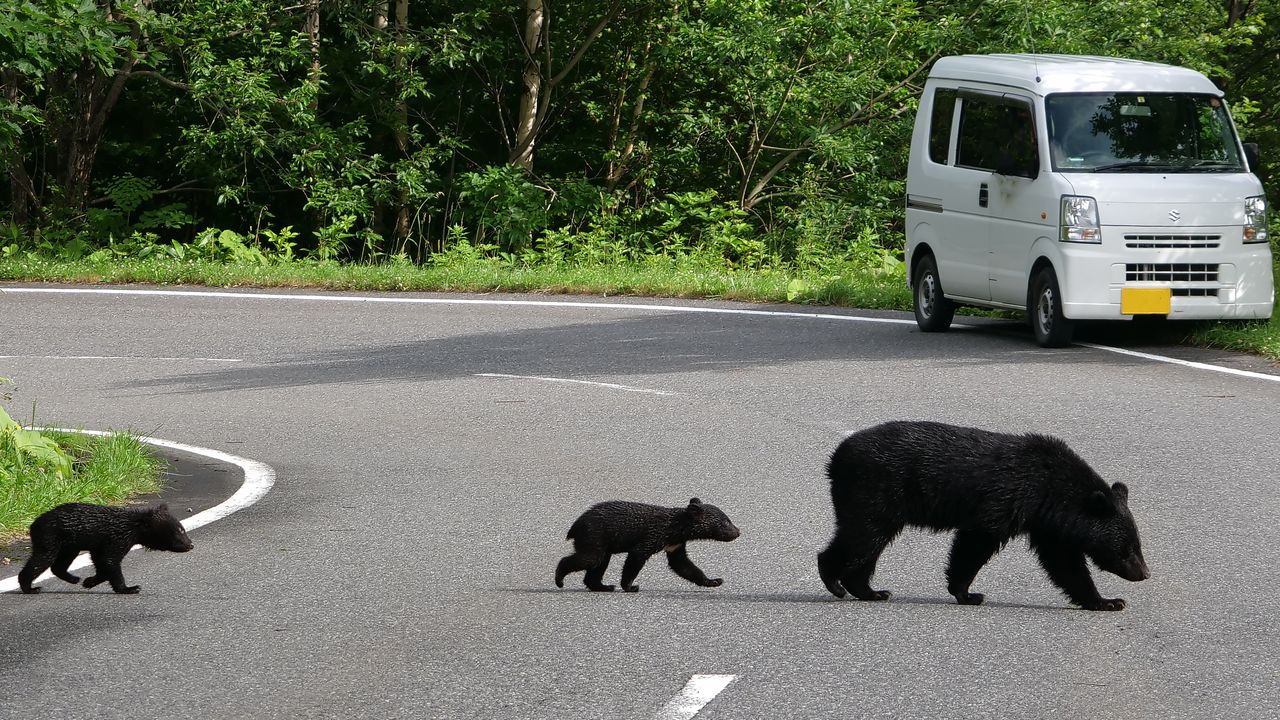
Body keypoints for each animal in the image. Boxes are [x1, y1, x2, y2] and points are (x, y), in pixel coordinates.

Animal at [18, 502, 194, 594]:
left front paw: (89, 581)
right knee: (42, 559)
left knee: (59, 563)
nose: (191, 544)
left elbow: (101, 562)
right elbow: (110, 561)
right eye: (180, 530)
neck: (134, 528)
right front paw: (130, 588)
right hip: (50, 537)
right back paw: (30, 587)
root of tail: (33, 525)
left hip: (69, 544)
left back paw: (74, 578)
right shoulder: (117, 538)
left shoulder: (101, 544)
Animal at [555, 498, 741, 593]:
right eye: (725, 522)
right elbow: (637, 555)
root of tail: (575, 526)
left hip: (602, 542)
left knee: (599, 563)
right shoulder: (653, 534)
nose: (738, 531)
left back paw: (604, 586)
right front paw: (630, 586)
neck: (675, 529)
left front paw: (714, 581)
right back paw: (559, 579)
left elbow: (683, 565)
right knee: (589, 558)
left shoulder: (675, 544)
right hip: (595, 535)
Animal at [816, 421, 1149, 611]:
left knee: (868, 544)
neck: (1050, 487)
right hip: (873, 491)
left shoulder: (1047, 523)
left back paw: (871, 591)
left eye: (1138, 545)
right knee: (860, 537)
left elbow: (1064, 563)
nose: (1144, 573)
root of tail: (836, 457)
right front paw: (967, 593)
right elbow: (976, 541)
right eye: (1127, 549)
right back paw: (833, 580)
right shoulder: (1007, 500)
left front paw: (1106, 601)